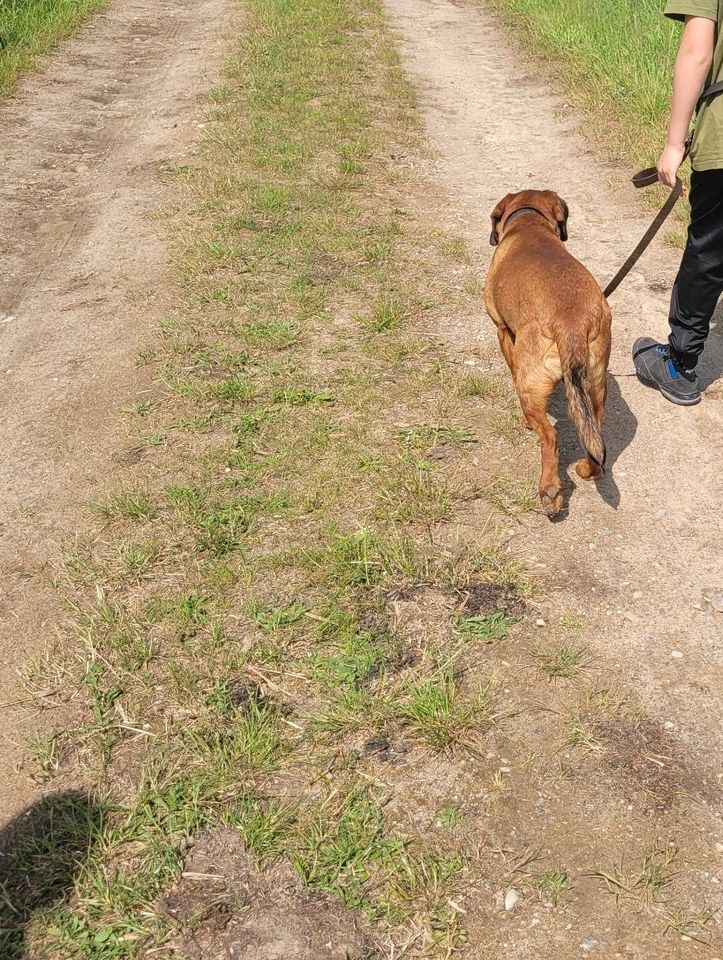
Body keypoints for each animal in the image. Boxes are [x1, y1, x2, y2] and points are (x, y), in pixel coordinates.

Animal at [486, 189, 612, 516]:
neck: (529, 222)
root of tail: (572, 324)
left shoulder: (503, 331)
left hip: (530, 387)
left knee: (550, 437)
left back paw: (550, 491)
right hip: (596, 387)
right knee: (597, 439)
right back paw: (586, 469)